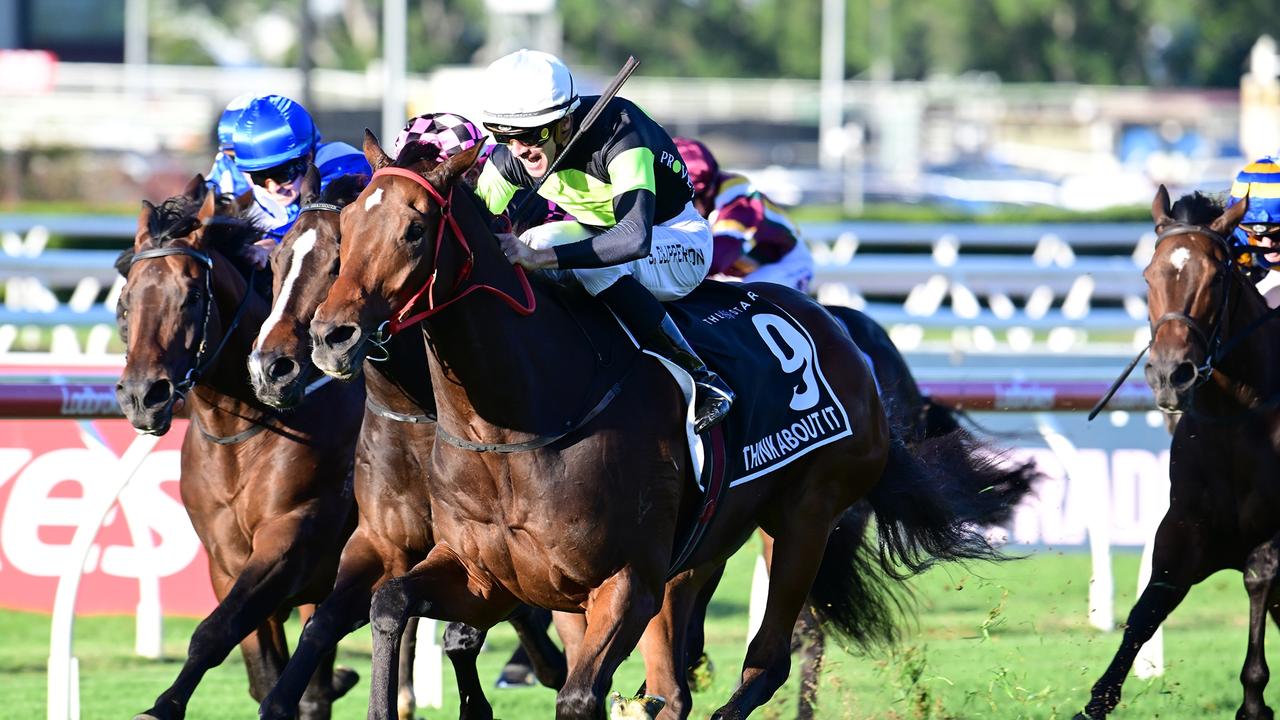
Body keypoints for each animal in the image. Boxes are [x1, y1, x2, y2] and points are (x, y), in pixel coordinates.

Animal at [115, 175, 368, 717]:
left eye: (191, 296)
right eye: (127, 299)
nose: (143, 396)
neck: (243, 430)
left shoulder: (290, 536)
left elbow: (216, 632)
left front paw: (162, 704)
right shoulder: (225, 557)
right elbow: (261, 665)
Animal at [248, 167, 565, 717]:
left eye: (336, 260)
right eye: (277, 258)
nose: (270, 368)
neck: (419, 417)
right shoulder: (383, 540)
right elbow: (325, 622)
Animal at [307, 135, 1018, 717]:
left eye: (415, 229)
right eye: (349, 223)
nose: (330, 335)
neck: (514, 427)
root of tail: (847, 340)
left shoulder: (625, 583)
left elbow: (577, 695)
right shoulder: (491, 575)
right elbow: (397, 606)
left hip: (805, 520)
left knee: (768, 662)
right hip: (701, 552)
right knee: (675, 685)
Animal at [1080, 188, 1280, 712]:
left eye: (1215, 276)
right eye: (1149, 274)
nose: (1171, 374)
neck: (1238, 416)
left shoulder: (1271, 534)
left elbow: (1258, 579)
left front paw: (1254, 703)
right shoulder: (1184, 528)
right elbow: (1147, 607)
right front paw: (1096, 701)